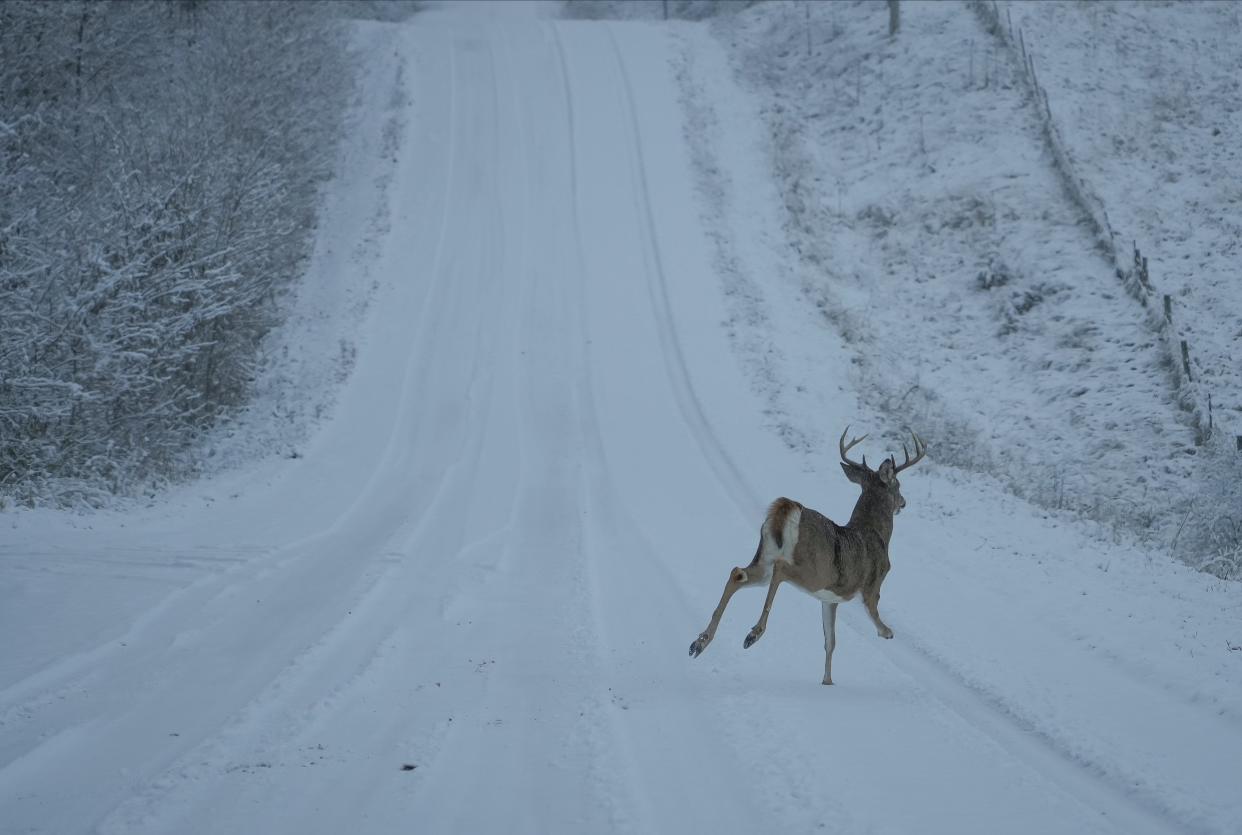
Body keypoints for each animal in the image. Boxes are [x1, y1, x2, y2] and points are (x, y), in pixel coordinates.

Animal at [685, 427, 929, 680]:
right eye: (897, 485)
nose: (903, 502)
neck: (876, 533)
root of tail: (788, 507)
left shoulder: (829, 599)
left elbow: (830, 641)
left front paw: (827, 681)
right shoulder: (873, 582)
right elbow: (873, 612)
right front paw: (887, 631)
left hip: (765, 556)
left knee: (738, 572)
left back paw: (700, 642)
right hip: (813, 571)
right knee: (780, 569)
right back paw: (753, 634)